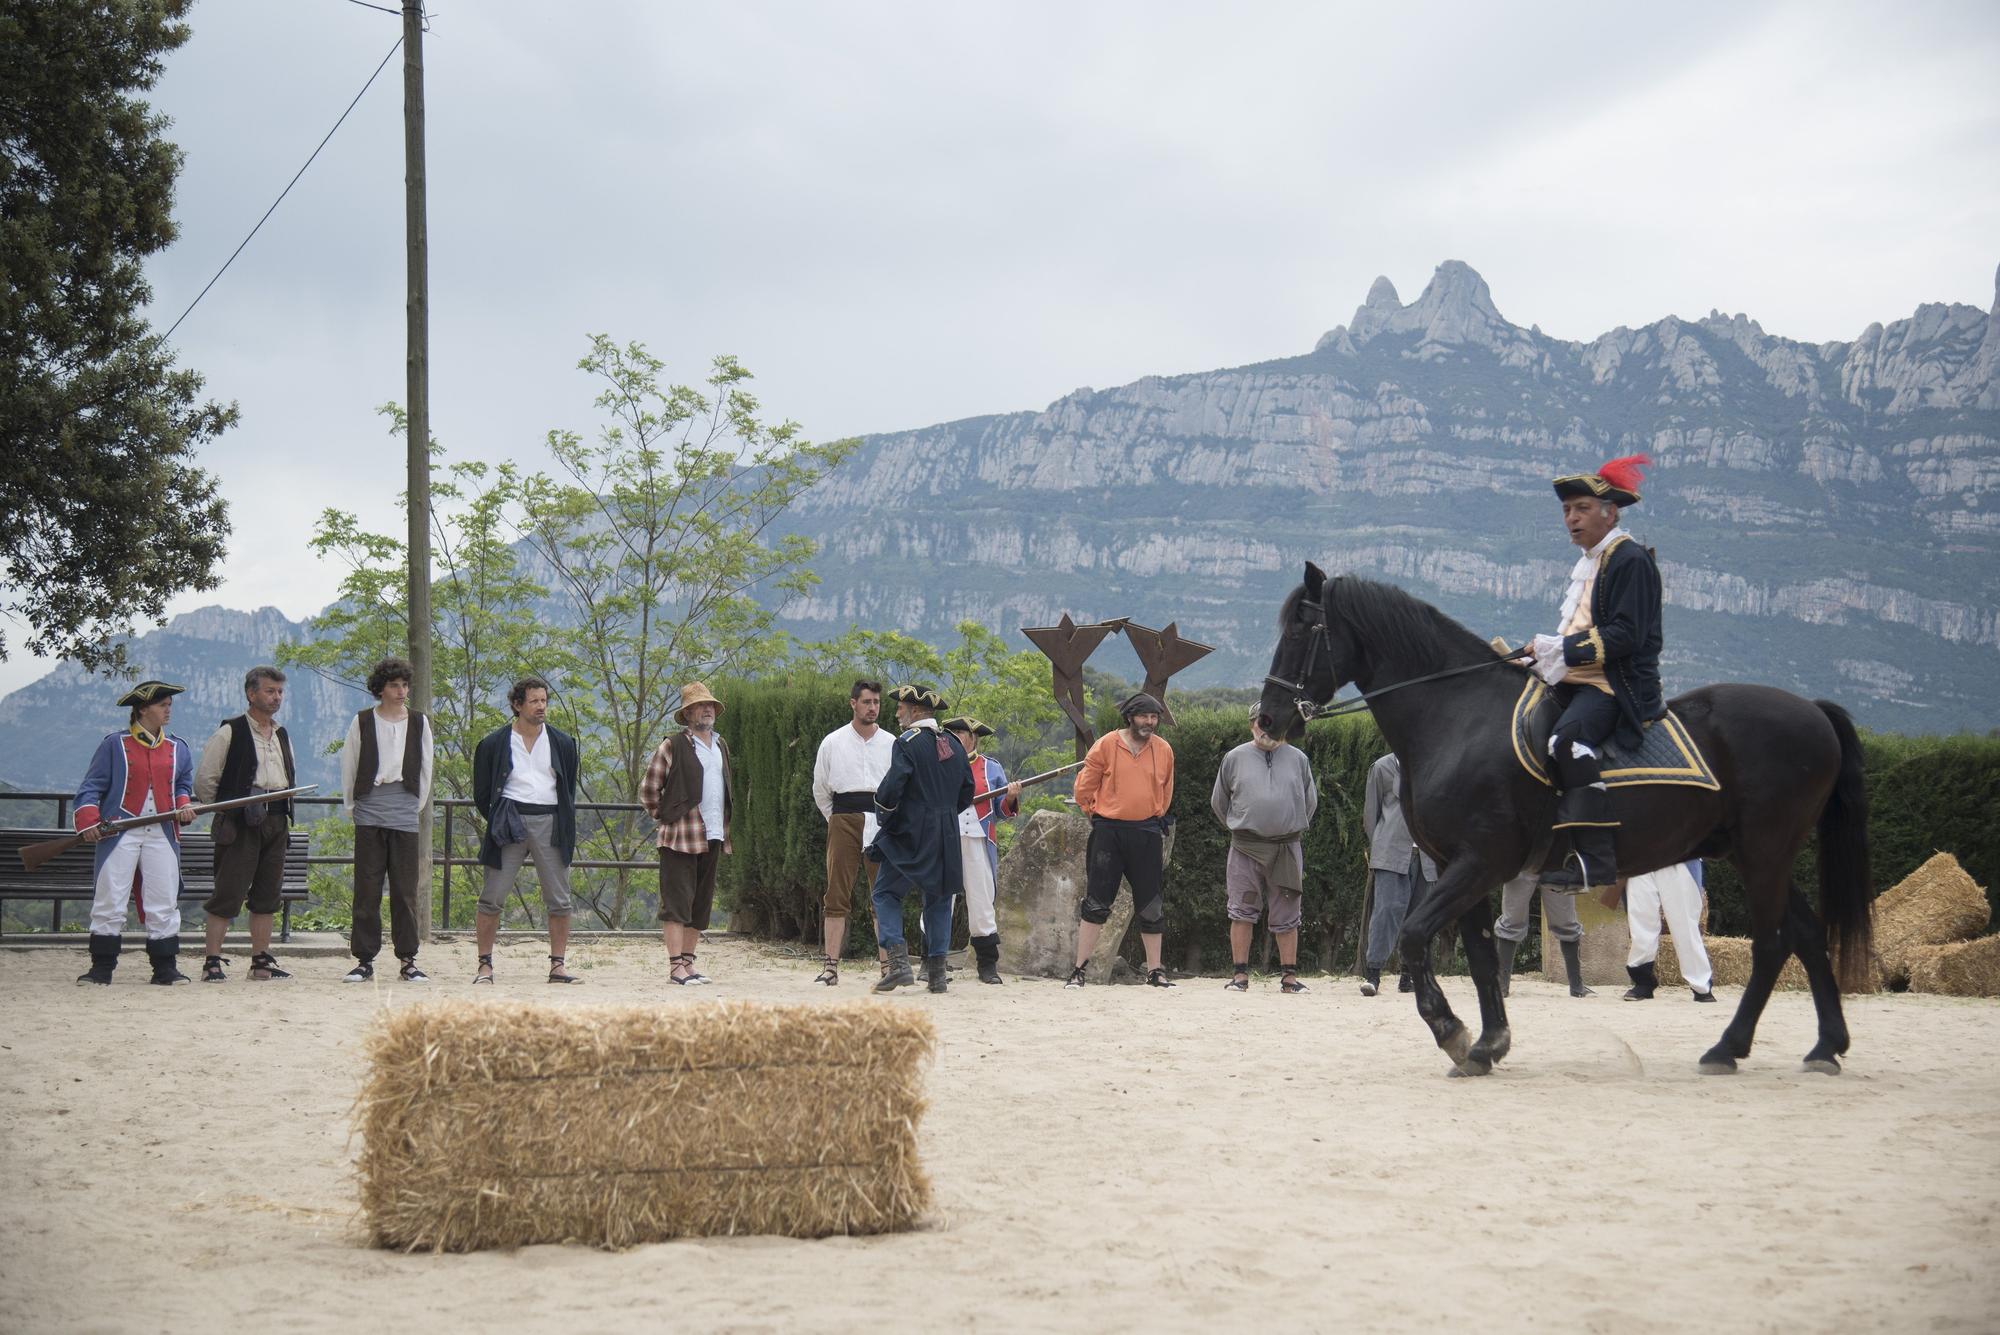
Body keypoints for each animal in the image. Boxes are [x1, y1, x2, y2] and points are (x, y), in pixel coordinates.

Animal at [1256, 563, 1880, 1071]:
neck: (1459, 716)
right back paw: (1825, 1046)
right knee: (1805, 933)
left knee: (1773, 942)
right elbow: (1481, 957)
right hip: (1760, 854)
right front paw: (1489, 1044)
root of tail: (1813, 712)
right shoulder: (1464, 868)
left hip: (1764, 852)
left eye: (1301, 631)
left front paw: (1452, 1032)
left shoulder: (1479, 862)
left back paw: (1729, 1048)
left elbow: (1413, 935)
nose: (1267, 719)